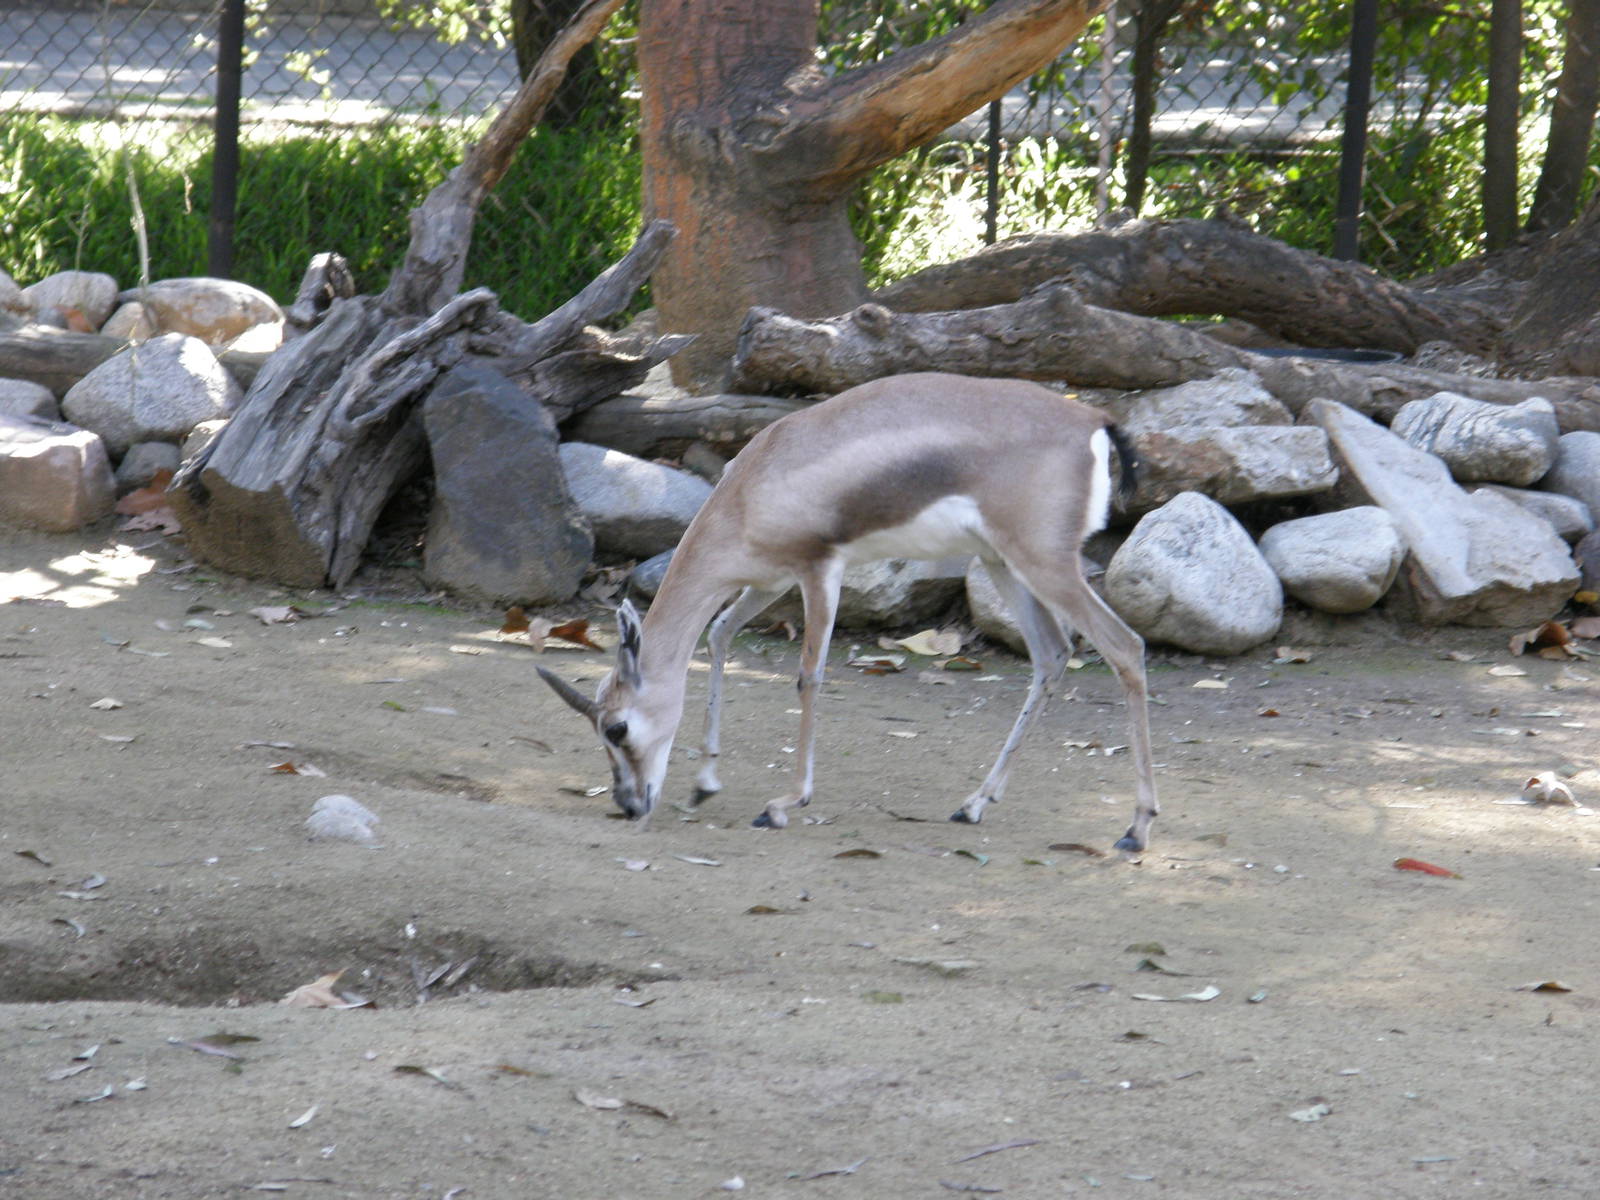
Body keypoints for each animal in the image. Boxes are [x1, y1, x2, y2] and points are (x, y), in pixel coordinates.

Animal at [538, 372, 1159, 852]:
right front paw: (705, 783)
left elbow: (808, 676)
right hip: (1003, 562)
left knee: (1125, 646)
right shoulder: (768, 581)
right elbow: (717, 637)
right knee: (1052, 655)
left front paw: (783, 804)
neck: (751, 488)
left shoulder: (819, 570)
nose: (628, 804)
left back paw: (1136, 829)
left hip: (1045, 564)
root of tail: (1094, 420)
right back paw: (975, 804)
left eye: (616, 727)